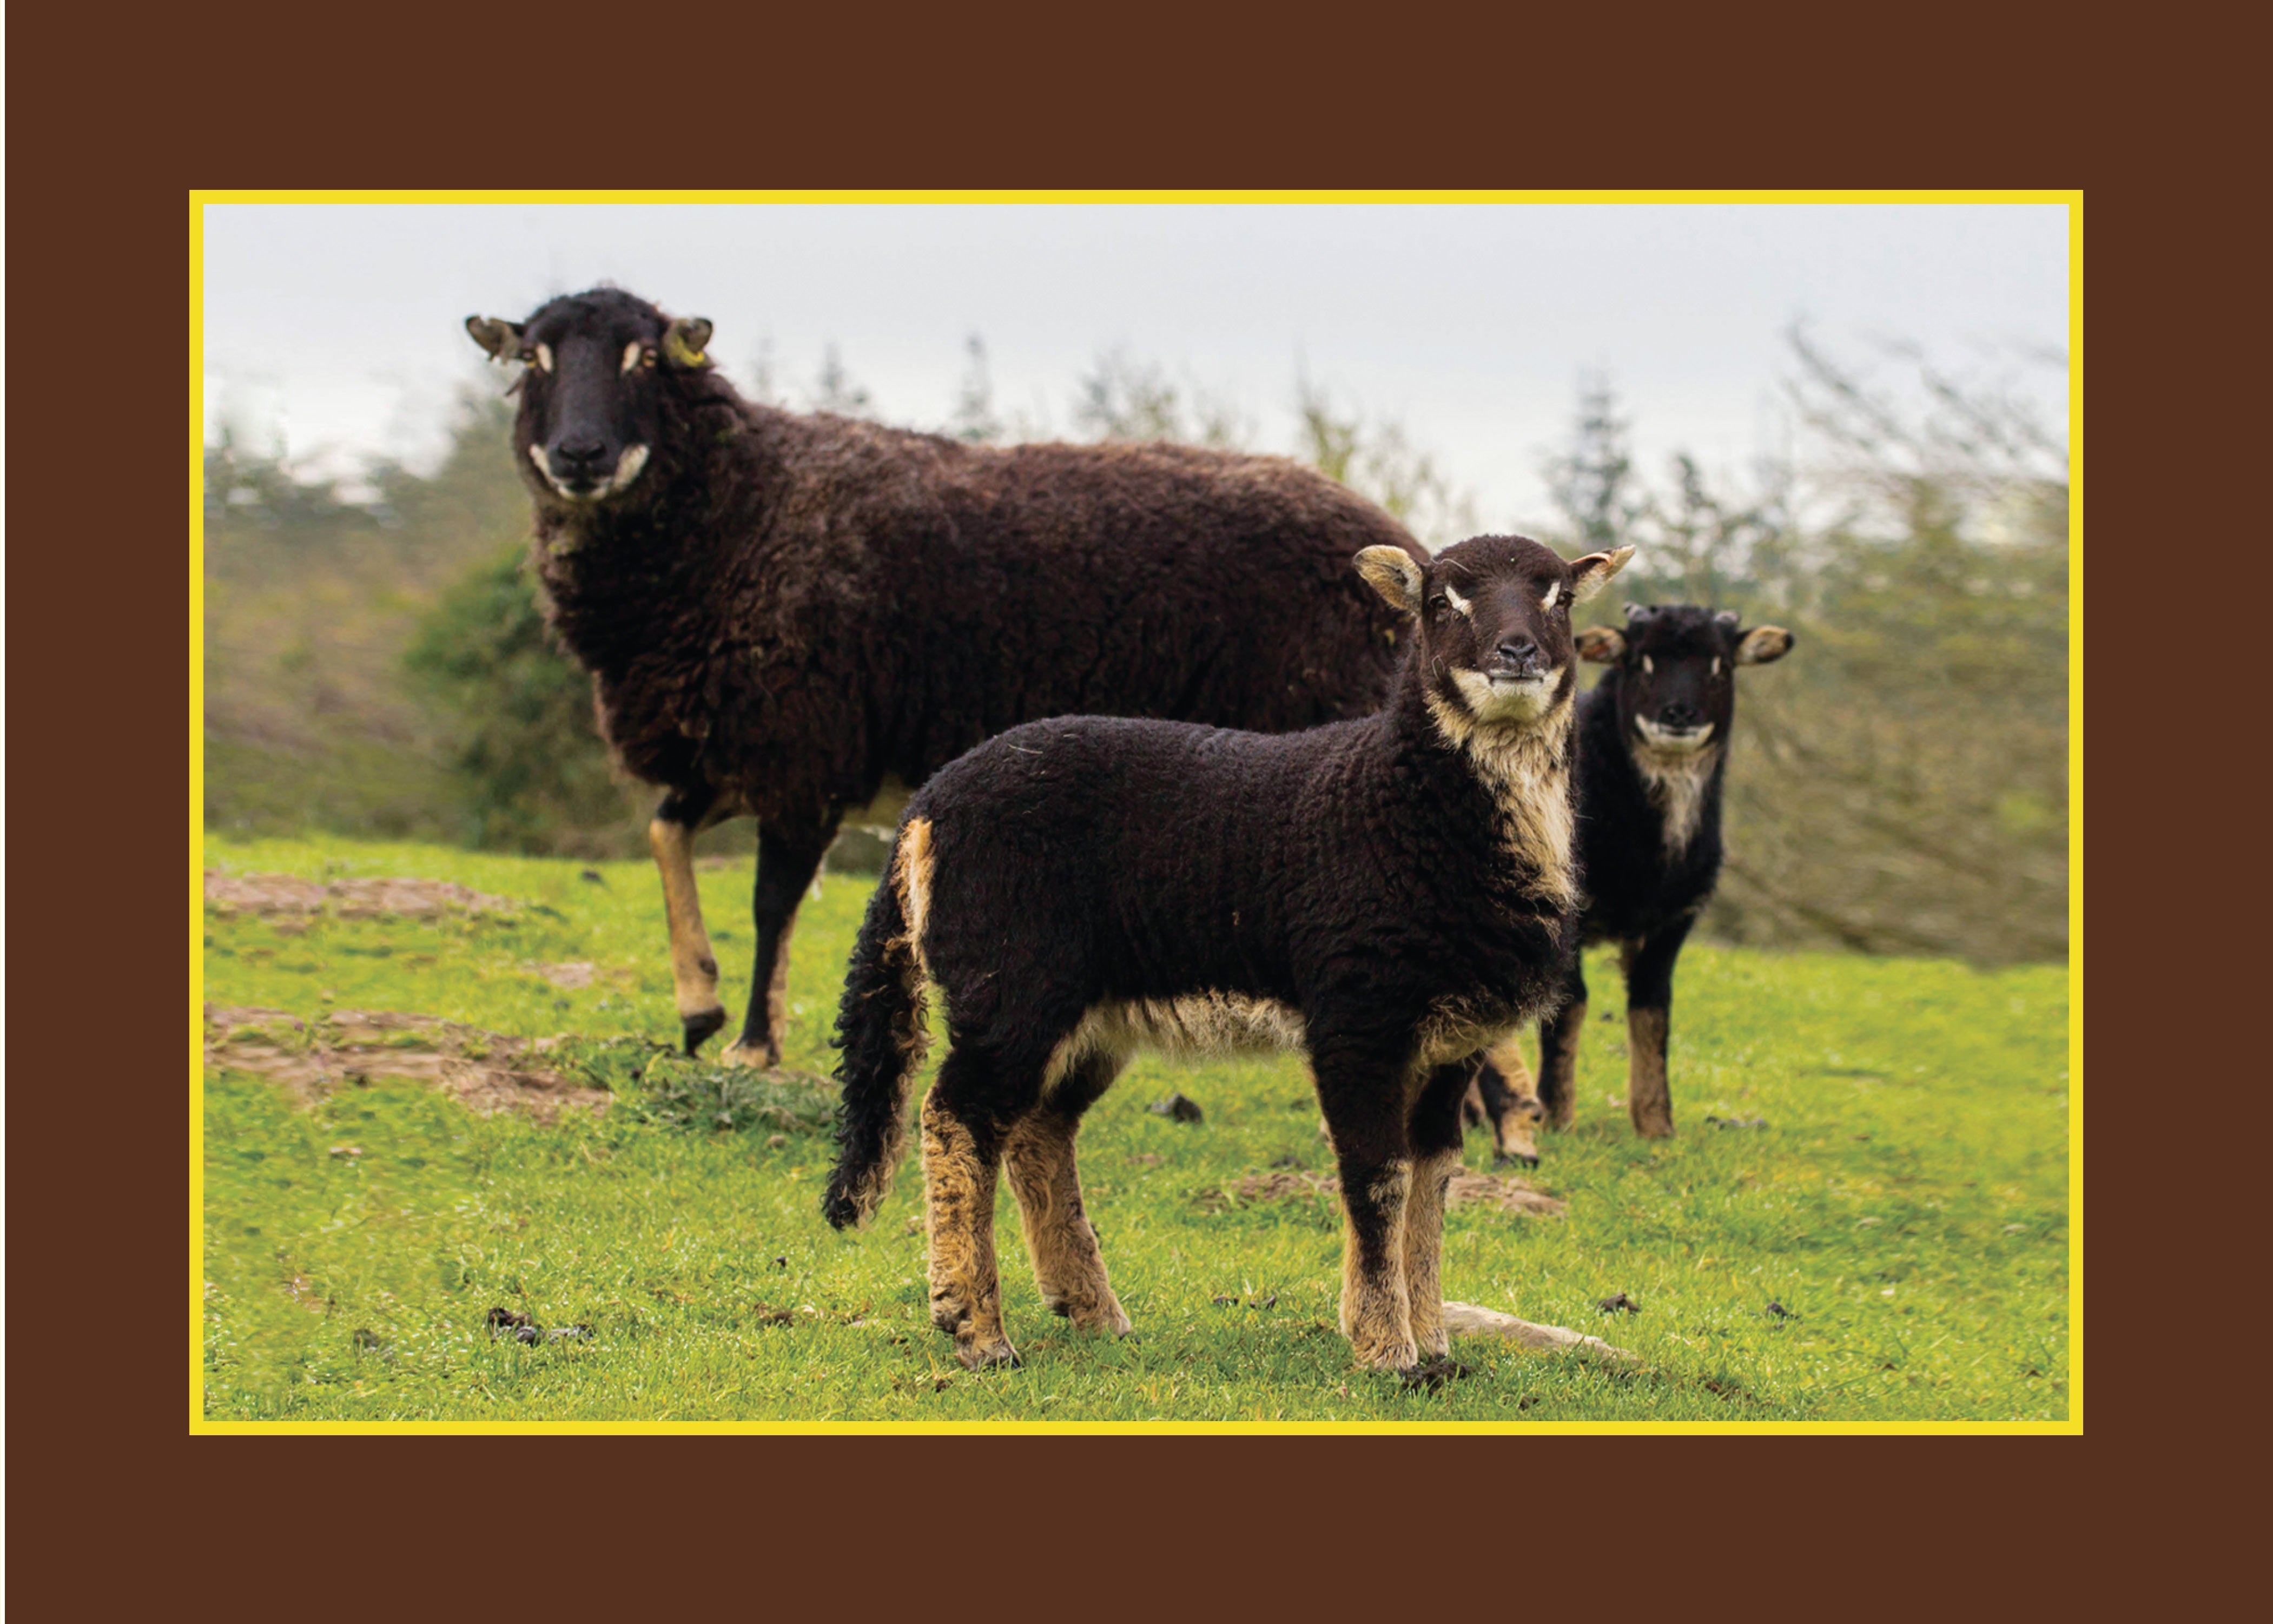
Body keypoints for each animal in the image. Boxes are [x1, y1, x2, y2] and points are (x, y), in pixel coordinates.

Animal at [465, 288, 1424, 1068]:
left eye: (645, 357)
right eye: (533, 359)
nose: (579, 454)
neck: (741, 508)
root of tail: (1399, 545)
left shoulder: (803, 746)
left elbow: (773, 901)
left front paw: (752, 1042)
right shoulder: (737, 743)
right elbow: (665, 833)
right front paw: (700, 1007)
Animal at [822, 535, 1633, 1378]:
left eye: (1559, 600)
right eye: (1441, 603)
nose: (1517, 651)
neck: (1396, 804)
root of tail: (927, 807)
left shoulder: (1454, 1042)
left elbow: (1433, 1179)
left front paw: (1434, 1345)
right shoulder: (1356, 1016)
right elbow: (1377, 1176)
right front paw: (1385, 1347)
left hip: (1087, 1012)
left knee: (1039, 1131)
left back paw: (1093, 1312)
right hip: (1011, 980)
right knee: (956, 1115)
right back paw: (976, 1327)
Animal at [1470, 603, 1793, 1145]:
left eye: (1721, 666)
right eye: (1642, 662)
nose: (1679, 714)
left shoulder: (1674, 918)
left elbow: (1653, 1009)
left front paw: (1657, 1124)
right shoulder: (1570, 910)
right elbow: (1570, 1003)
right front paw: (1558, 1115)